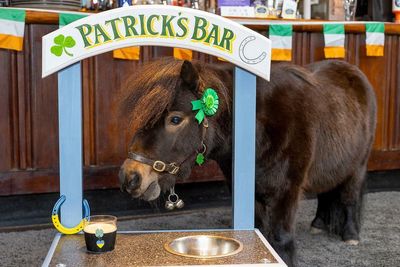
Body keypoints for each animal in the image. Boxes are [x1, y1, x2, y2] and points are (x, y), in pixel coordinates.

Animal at [117, 57, 376, 266]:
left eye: (175, 119)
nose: (130, 176)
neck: (260, 129)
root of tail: (354, 72)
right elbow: (259, 234)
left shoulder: (287, 193)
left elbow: (281, 239)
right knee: (326, 193)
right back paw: (318, 224)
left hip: (358, 167)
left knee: (350, 197)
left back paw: (351, 235)